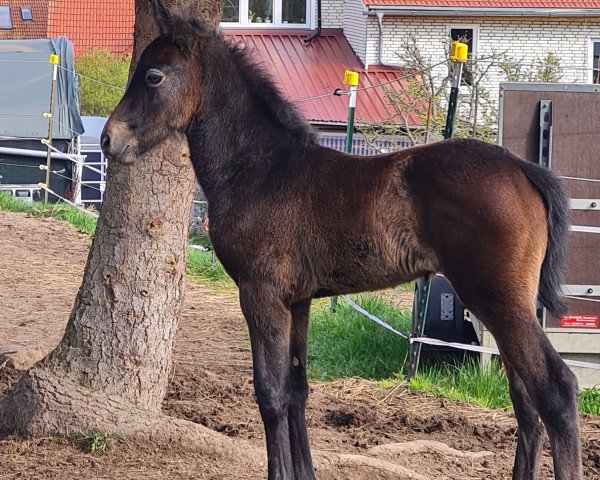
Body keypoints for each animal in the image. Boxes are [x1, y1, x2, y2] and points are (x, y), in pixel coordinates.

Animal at [102, 10, 580, 480]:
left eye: (154, 76)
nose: (109, 139)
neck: (262, 169)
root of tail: (523, 169)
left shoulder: (261, 294)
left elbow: (270, 394)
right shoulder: (298, 300)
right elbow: (297, 388)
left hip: (498, 301)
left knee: (556, 390)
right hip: (501, 305)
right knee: (526, 406)